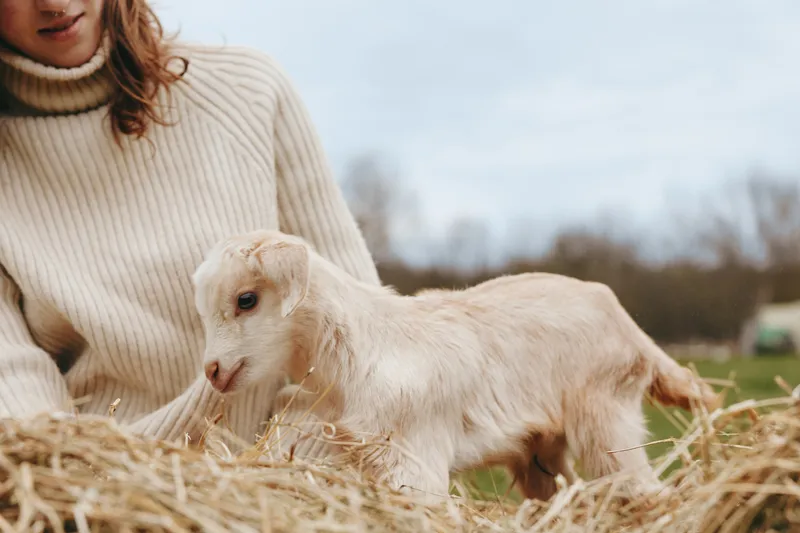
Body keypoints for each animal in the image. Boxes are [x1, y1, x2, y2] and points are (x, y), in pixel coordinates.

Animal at [192, 229, 721, 501]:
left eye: (246, 299)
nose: (213, 370)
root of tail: (631, 329)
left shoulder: (414, 457)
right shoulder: (323, 422)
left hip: (606, 420)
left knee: (643, 488)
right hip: (541, 447)